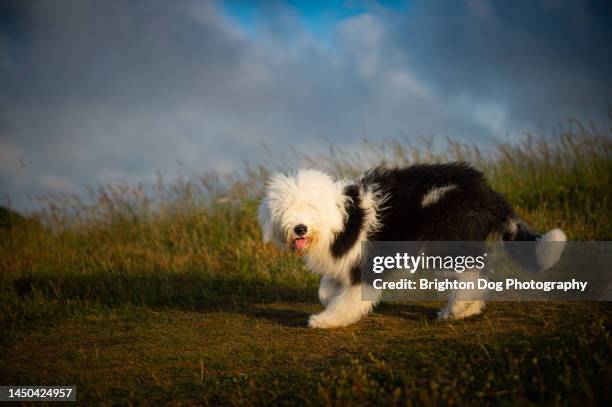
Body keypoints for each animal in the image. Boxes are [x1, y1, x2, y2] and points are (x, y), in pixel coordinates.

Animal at [256, 163, 564, 328]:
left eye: (310, 206)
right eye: (285, 208)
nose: (300, 228)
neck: (342, 218)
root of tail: (487, 193)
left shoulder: (367, 261)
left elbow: (352, 297)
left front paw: (327, 320)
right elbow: (325, 288)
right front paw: (328, 300)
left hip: (447, 242)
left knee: (471, 277)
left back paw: (457, 309)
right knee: (478, 274)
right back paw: (467, 309)